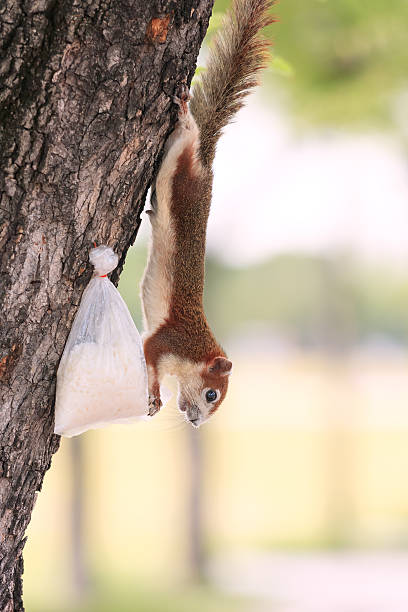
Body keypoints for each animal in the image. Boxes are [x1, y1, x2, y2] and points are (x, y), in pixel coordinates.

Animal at [141, 0, 274, 426]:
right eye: (212, 393)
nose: (197, 421)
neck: (196, 353)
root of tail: (206, 164)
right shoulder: (166, 341)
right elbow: (148, 354)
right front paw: (154, 395)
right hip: (184, 161)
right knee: (189, 131)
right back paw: (185, 111)